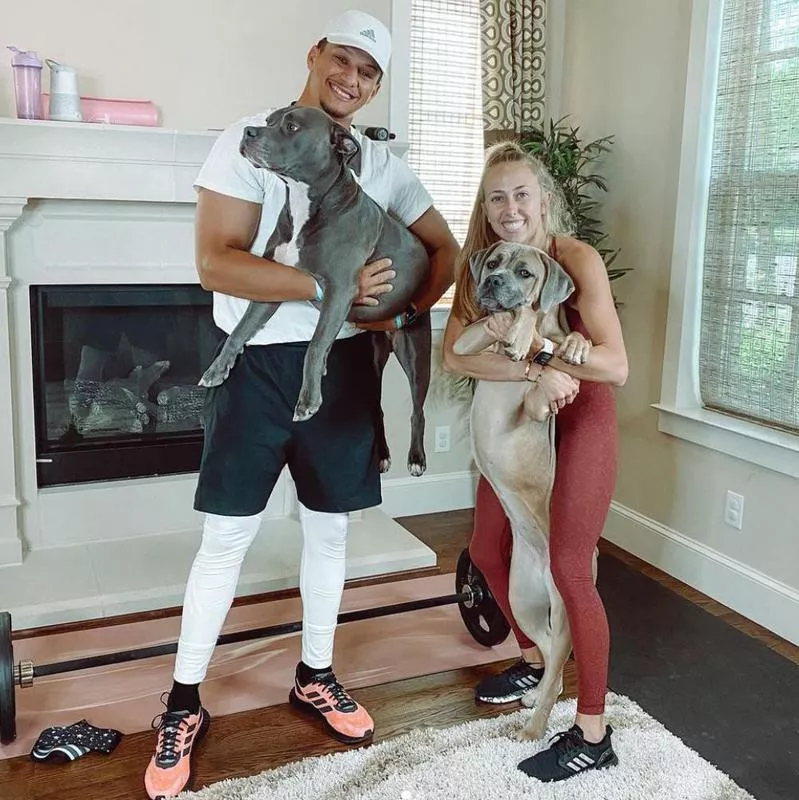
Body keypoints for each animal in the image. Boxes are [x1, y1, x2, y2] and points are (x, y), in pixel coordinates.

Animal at [456, 241, 592, 740]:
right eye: (493, 263)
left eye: (525, 272)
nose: (493, 283)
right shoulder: (465, 342)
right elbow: (487, 329)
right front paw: (517, 334)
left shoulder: (535, 408)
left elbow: (542, 328)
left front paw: (559, 343)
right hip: (522, 600)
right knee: (548, 652)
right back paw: (531, 697)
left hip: (566, 606)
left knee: (558, 668)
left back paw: (534, 728)